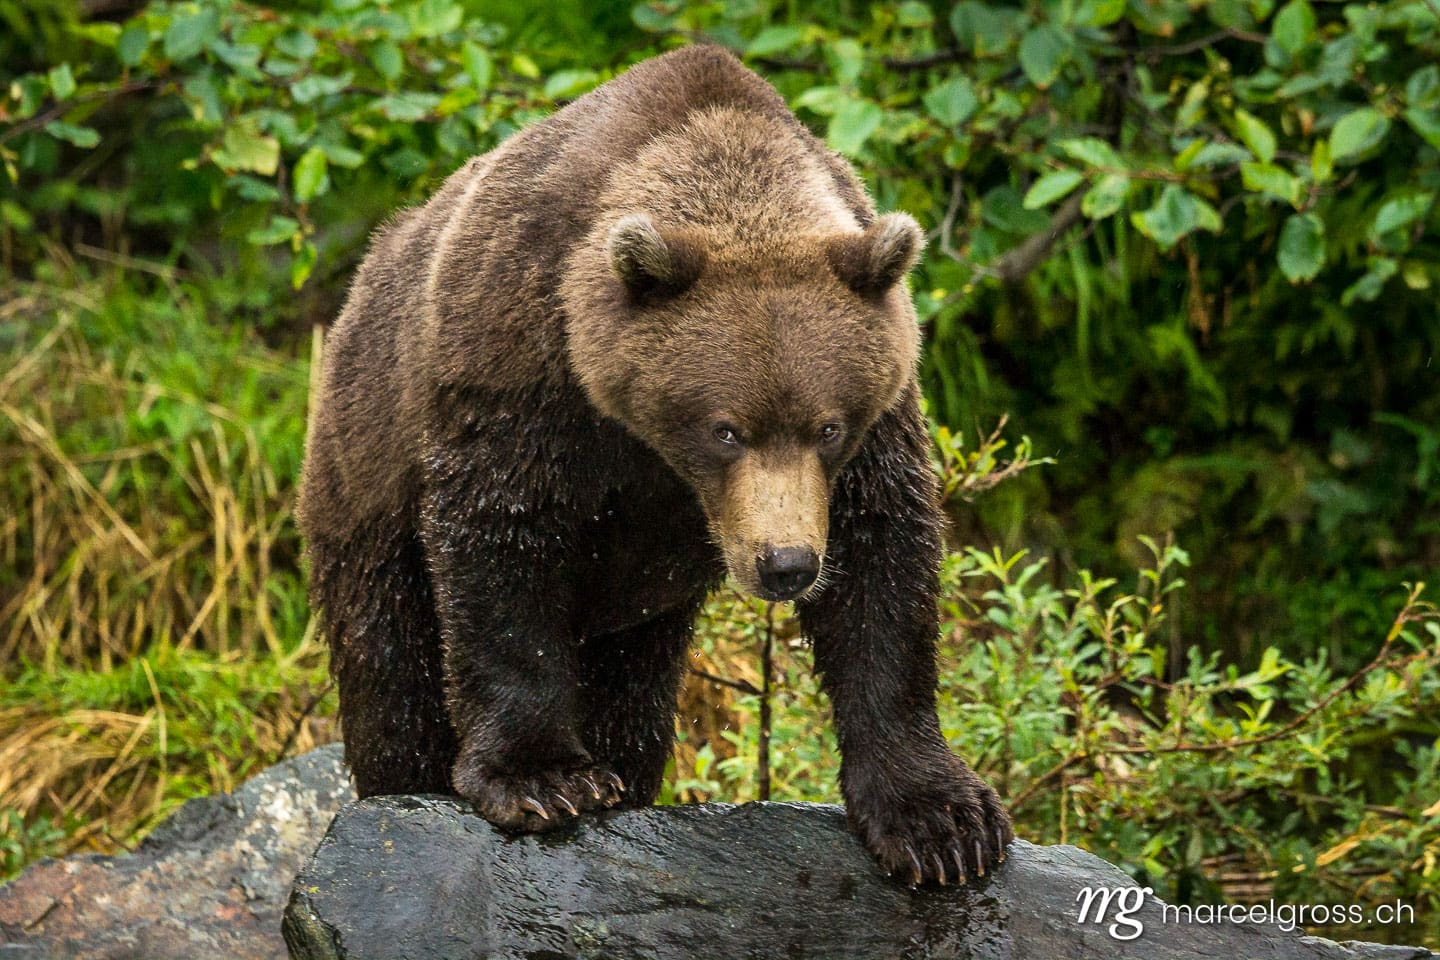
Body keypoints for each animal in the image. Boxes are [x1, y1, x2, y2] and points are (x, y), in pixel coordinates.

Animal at [298, 44, 1012, 885]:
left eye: (828, 427)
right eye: (727, 429)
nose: (786, 564)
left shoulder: (877, 421)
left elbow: (883, 565)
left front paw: (942, 821)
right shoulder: (522, 366)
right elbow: (502, 546)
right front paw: (542, 778)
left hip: (642, 614)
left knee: (634, 694)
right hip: (363, 469)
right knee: (390, 663)